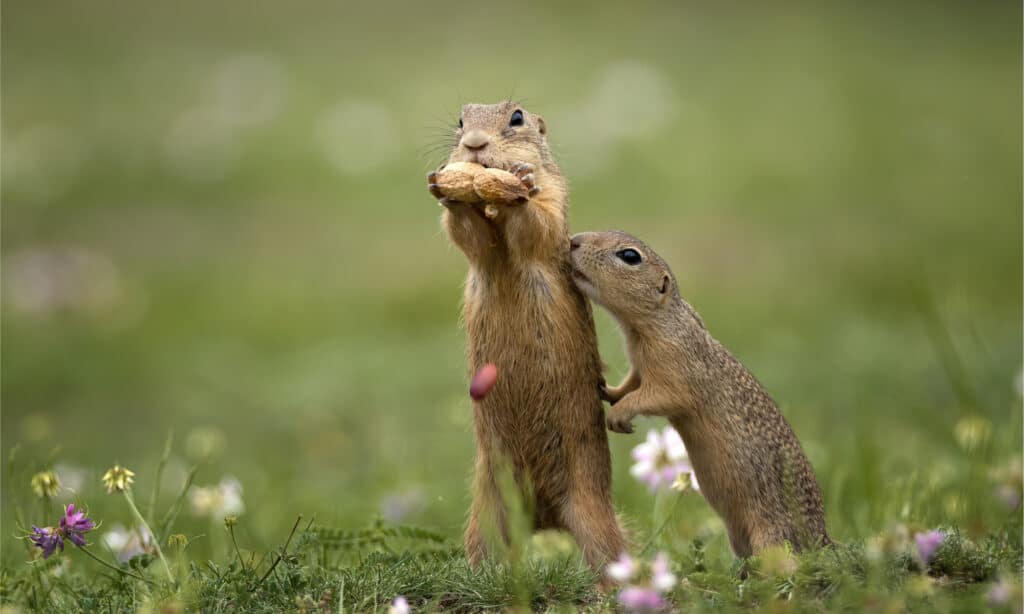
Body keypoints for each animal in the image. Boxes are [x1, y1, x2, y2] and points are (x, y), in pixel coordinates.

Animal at [423, 104, 622, 568]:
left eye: (516, 118)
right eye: (461, 121)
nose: (474, 143)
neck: (490, 205)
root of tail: (545, 518)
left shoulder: (556, 195)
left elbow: (538, 222)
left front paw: (521, 182)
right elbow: (471, 237)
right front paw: (447, 188)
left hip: (592, 511)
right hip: (486, 512)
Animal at [569, 230, 831, 556]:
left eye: (629, 256)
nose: (573, 241)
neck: (658, 323)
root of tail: (822, 540)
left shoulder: (675, 373)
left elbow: (654, 397)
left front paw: (619, 414)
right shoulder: (639, 368)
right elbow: (631, 384)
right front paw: (607, 389)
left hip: (773, 538)